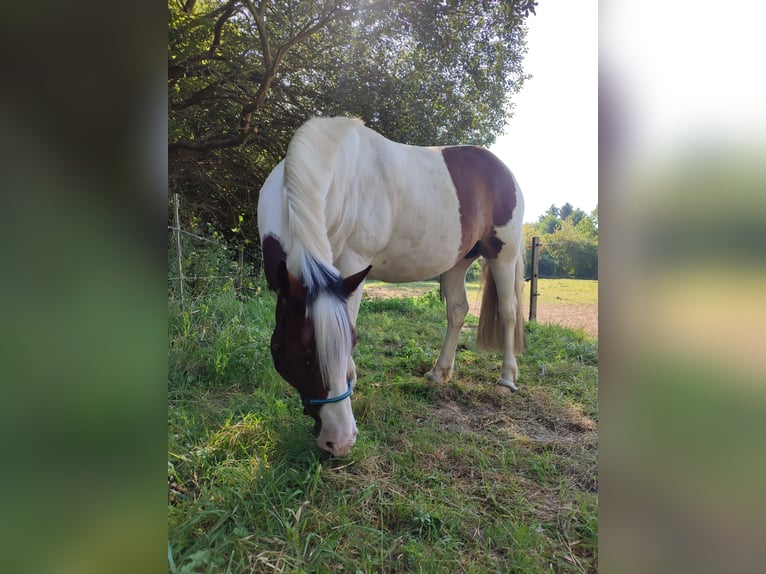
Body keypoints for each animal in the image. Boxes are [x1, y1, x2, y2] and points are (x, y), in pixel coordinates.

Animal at [260, 118, 524, 460]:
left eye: (351, 345)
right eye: (306, 357)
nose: (340, 441)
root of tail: (504, 171)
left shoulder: (353, 263)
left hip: (503, 255)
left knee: (508, 311)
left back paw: (506, 378)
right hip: (458, 261)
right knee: (457, 310)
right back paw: (439, 372)